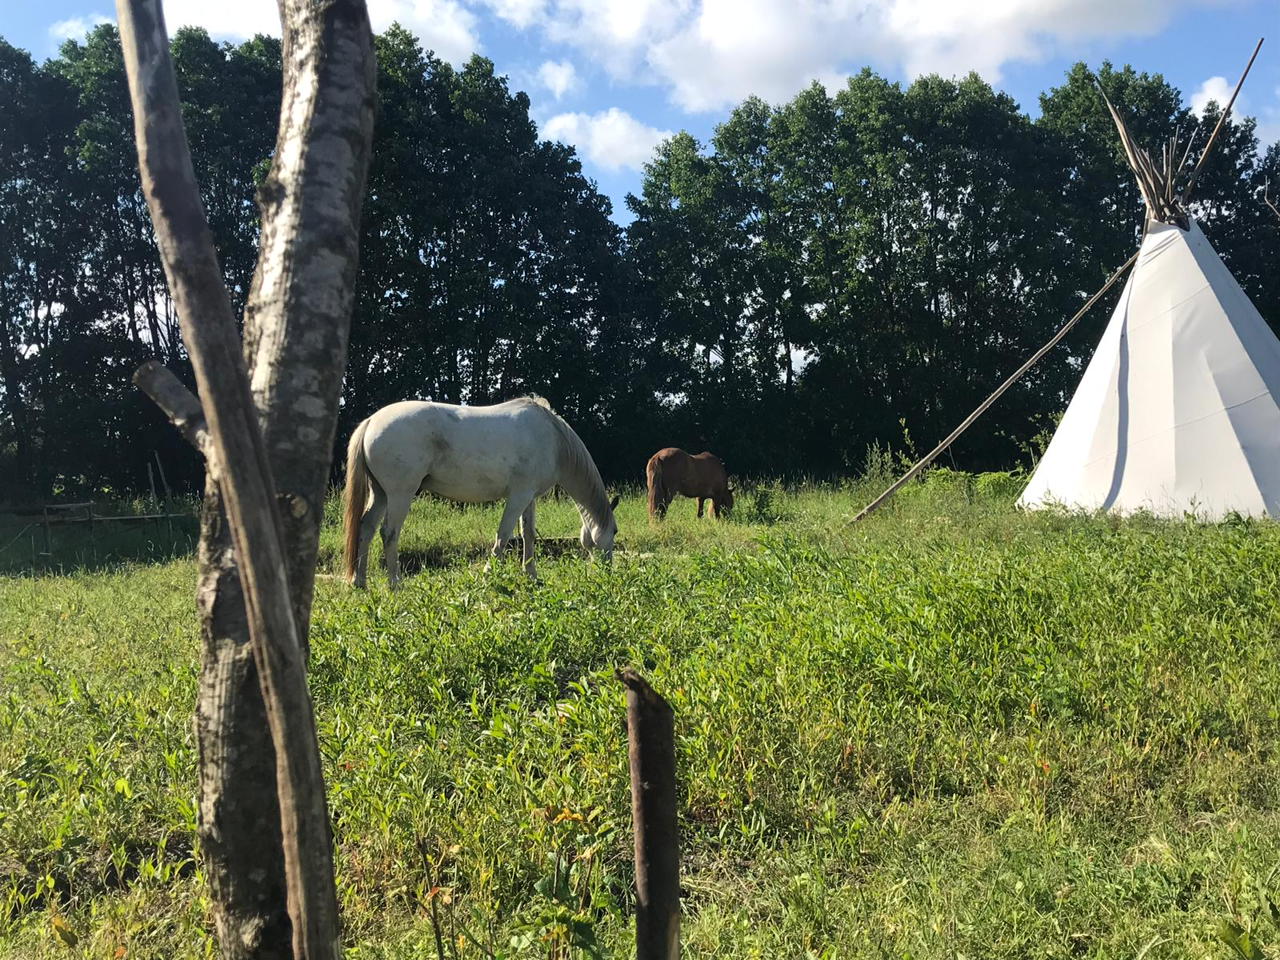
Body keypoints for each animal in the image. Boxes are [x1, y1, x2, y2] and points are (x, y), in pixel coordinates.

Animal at [340, 396, 619, 586]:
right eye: (614, 532)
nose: (608, 572)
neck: (554, 440)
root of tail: (372, 421)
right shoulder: (518, 497)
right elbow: (504, 535)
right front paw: (488, 575)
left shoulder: (528, 497)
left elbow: (528, 534)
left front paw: (531, 576)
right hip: (400, 494)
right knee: (389, 533)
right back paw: (395, 585)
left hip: (381, 494)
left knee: (366, 528)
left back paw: (360, 582)